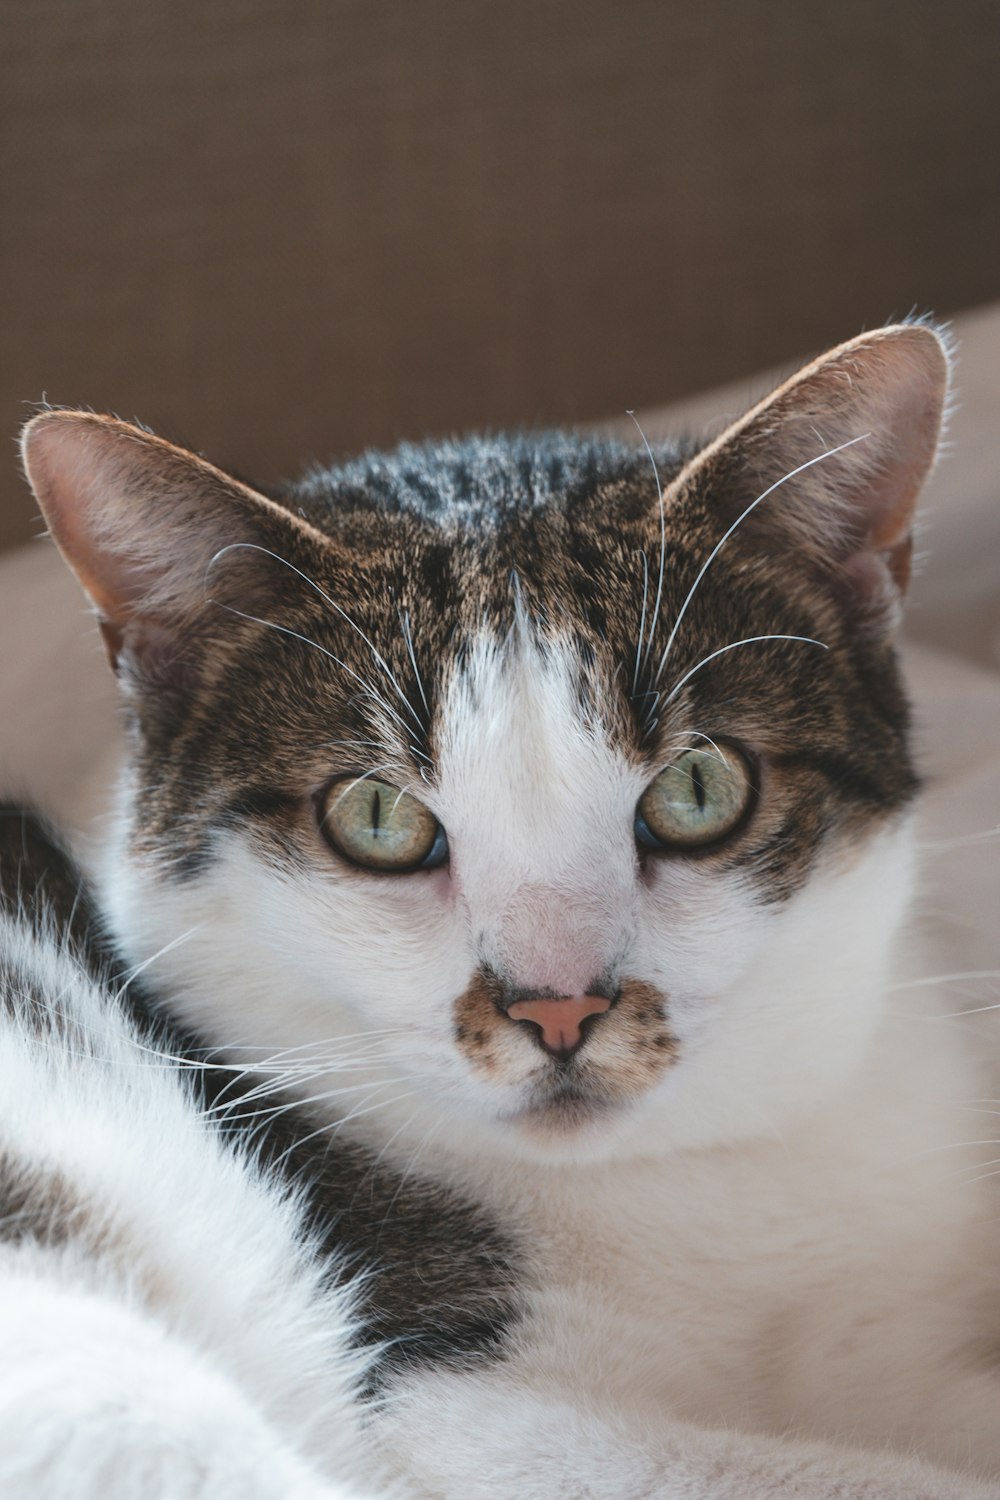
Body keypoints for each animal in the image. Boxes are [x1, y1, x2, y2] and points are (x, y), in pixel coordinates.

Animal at [5, 319, 1000, 1500]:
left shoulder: (888, 1340)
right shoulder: (456, 1401)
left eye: (698, 789)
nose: (559, 1006)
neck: (695, 1170)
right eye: (377, 817)